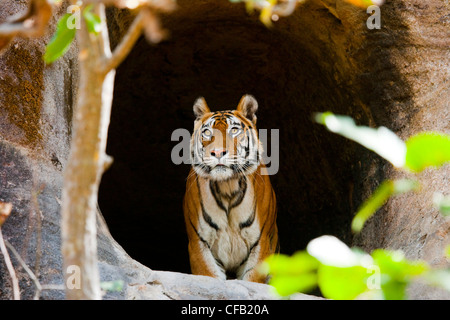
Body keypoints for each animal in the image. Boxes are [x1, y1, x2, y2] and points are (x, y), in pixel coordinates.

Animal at [183, 94, 278, 282]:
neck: (227, 186)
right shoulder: (199, 244)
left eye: (234, 130)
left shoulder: (261, 243)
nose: (218, 152)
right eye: (207, 132)